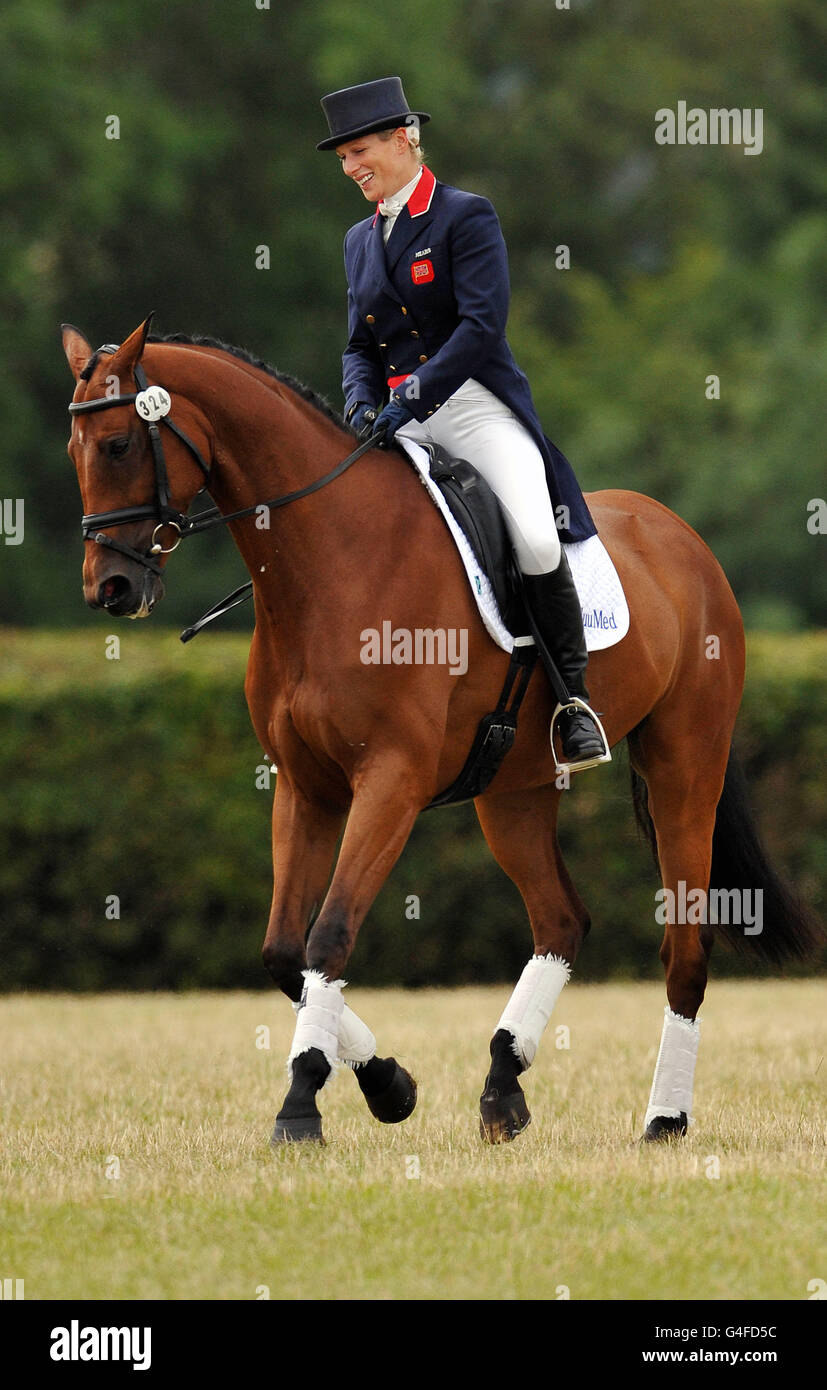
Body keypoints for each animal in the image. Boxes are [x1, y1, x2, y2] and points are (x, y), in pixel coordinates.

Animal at [61, 319, 817, 1145]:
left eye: (119, 445)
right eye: (75, 449)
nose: (109, 589)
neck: (326, 563)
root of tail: (680, 535)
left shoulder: (389, 782)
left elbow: (330, 935)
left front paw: (302, 1105)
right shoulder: (305, 788)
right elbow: (284, 953)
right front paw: (387, 1084)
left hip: (684, 766)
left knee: (683, 943)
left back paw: (663, 1118)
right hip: (513, 790)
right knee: (561, 920)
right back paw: (502, 1087)